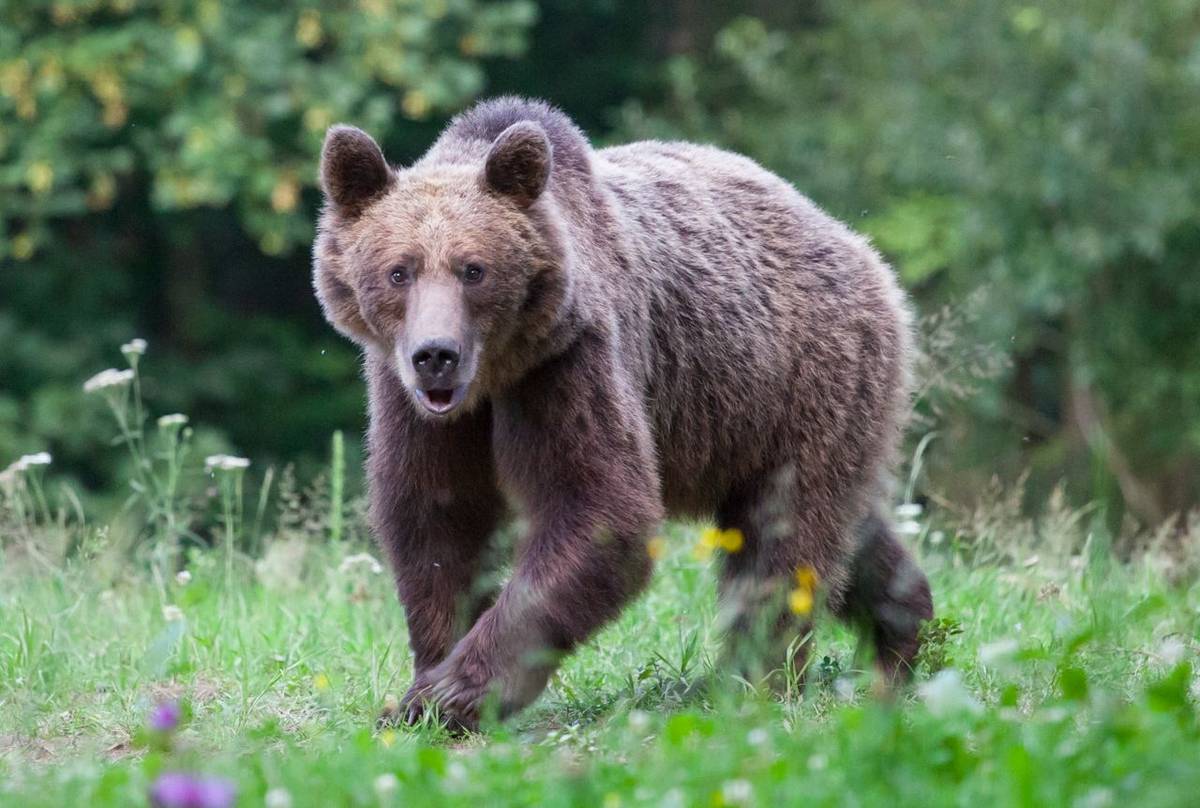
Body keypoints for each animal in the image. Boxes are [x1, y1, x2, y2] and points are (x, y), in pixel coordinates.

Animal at [314, 97, 931, 729]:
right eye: (399, 270)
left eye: (473, 269)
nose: (436, 355)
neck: (495, 376)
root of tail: (857, 246)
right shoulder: (415, 404)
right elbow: (437, 518)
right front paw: (424, 686)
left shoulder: (569, 366)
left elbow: (598, 509)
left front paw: (458, 690)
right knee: (844, 526)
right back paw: (903, 629)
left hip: (800, 375)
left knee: (783, 538)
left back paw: (754, 680)